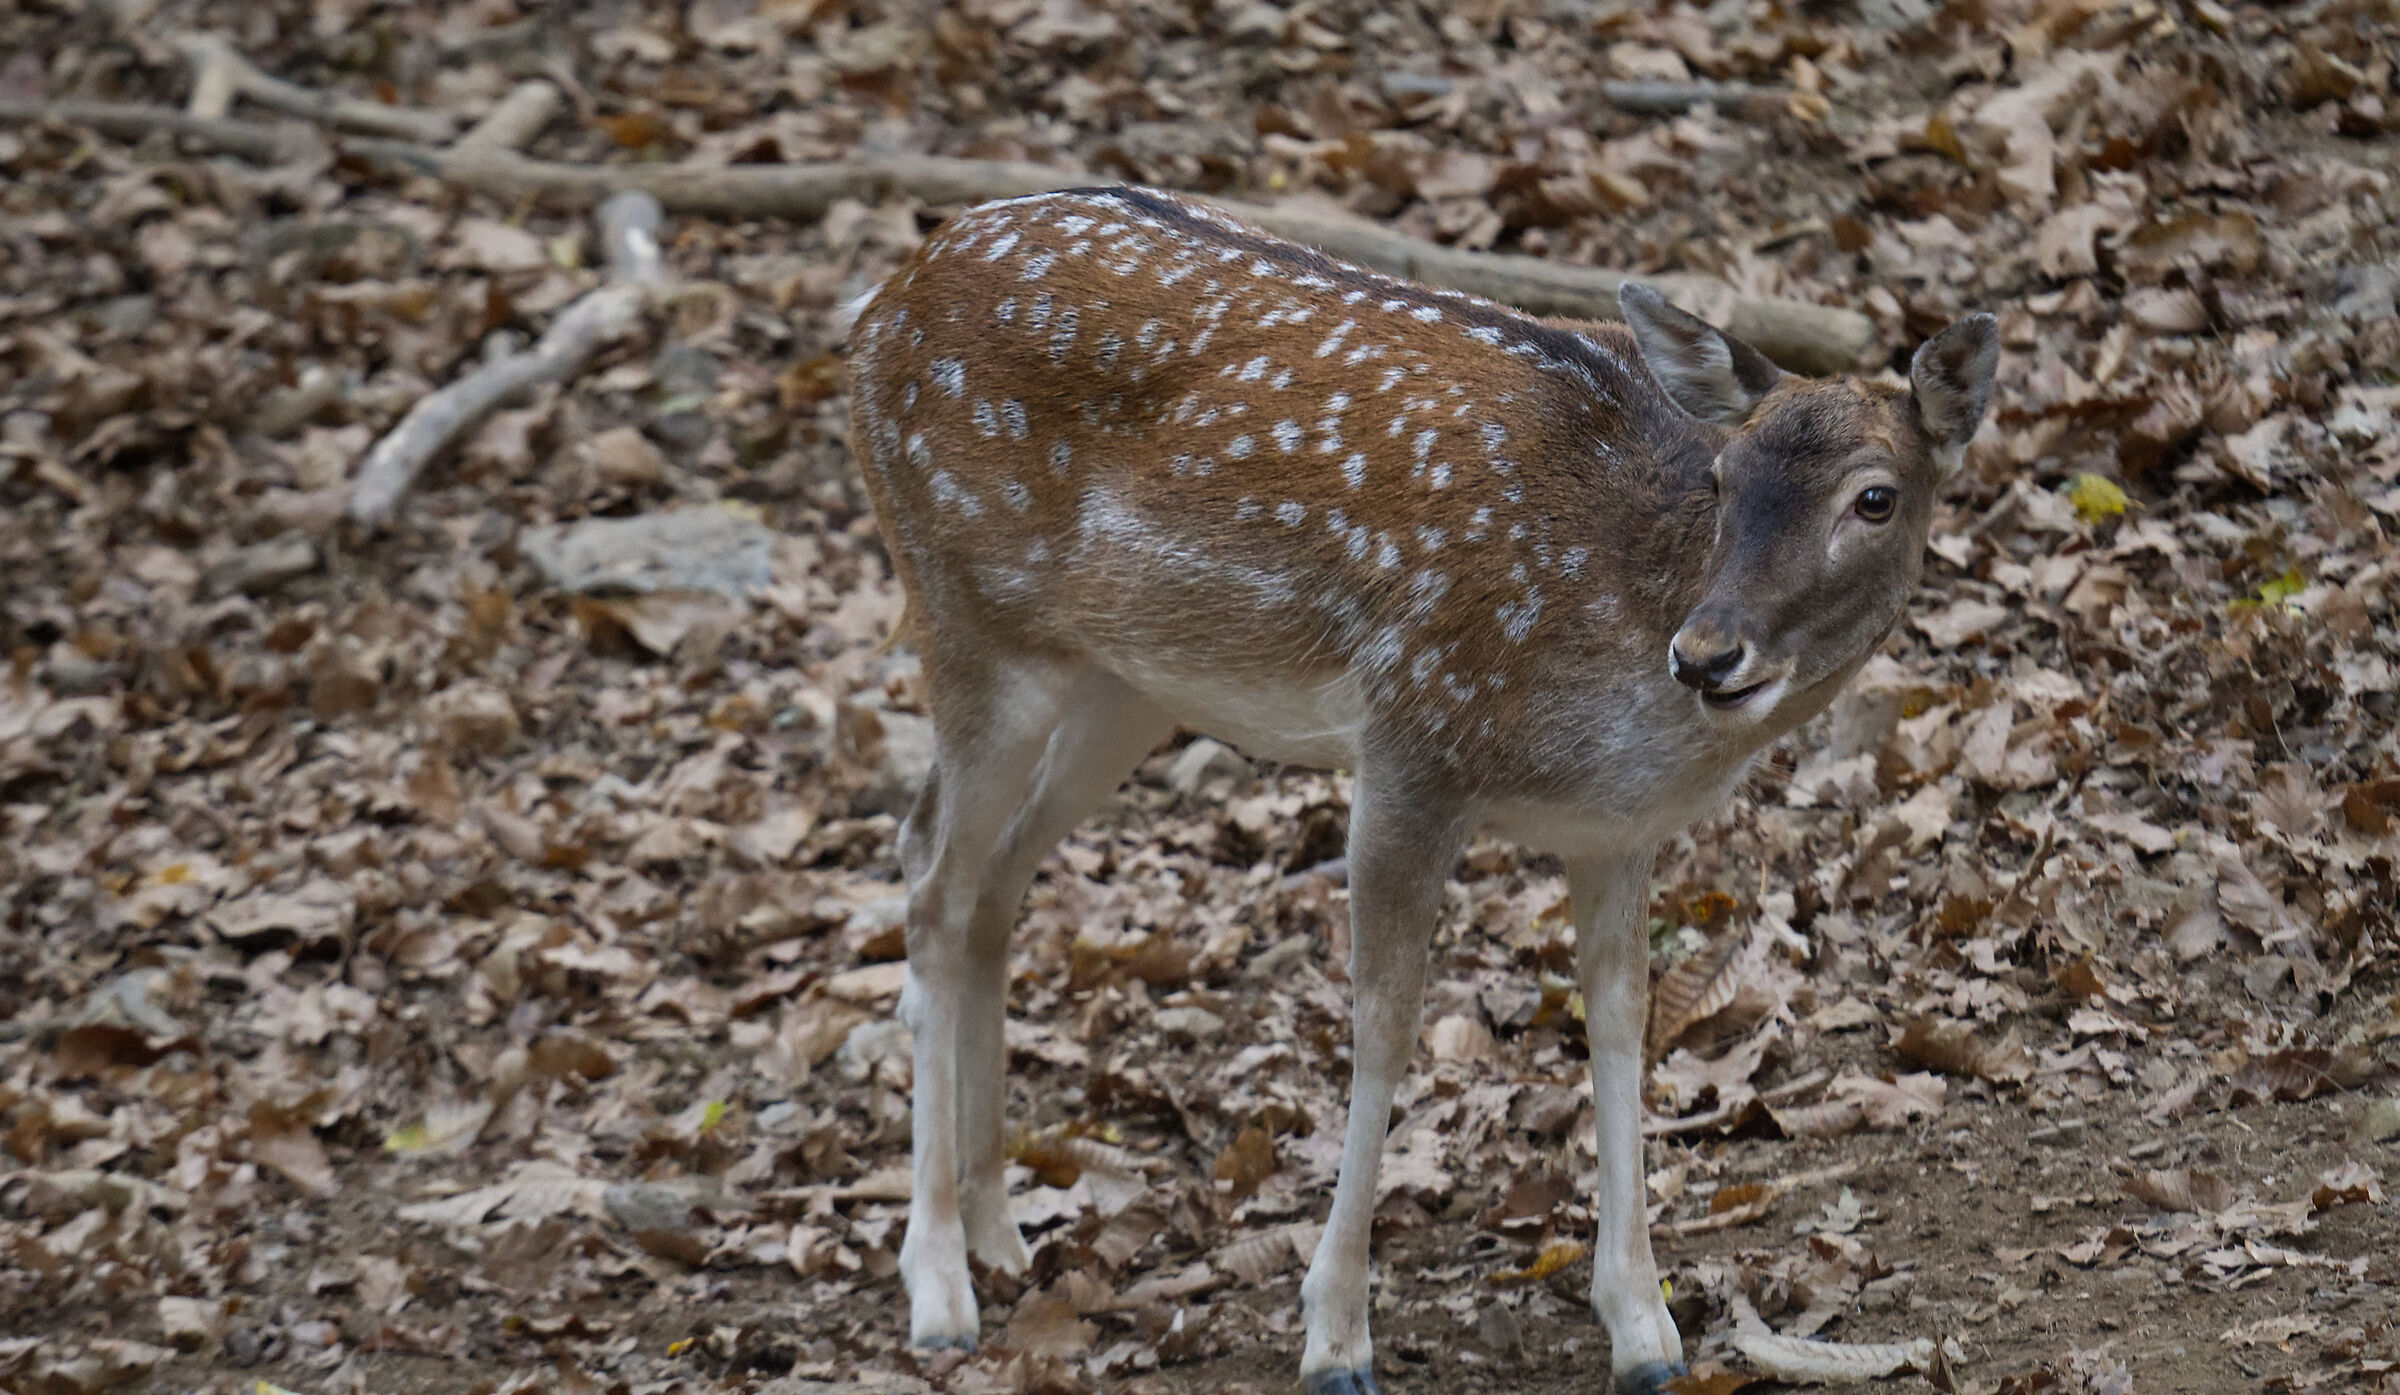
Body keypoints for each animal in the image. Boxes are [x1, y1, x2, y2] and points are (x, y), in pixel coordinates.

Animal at [843, 186, 1997, 1395]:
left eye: (1876, 498)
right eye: (1724, 479)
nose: (1708, 653)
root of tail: (877, 305)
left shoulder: (1617, 830)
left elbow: (1622, 1022)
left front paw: (1644, 1326)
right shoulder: (1410, 738)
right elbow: (1383, 1025)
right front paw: (1335, 1335)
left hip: (1121, 682)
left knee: (991, 879)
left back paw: (998, 1229)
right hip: (969, 612)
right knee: (928, 876)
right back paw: (939, 1282)